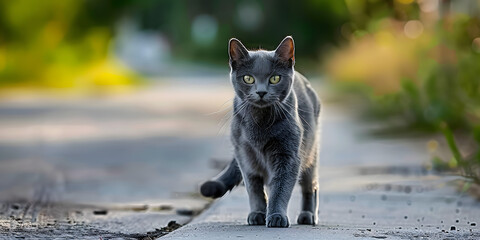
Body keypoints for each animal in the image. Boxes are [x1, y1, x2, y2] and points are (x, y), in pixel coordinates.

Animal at [201, 35, 320, 227]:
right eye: (248, 79)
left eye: (275, 78)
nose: (261, 92)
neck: (259, 124)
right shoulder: (245, 157)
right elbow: (254, 189)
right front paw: (258, 214)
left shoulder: (288, 156)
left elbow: (280, 188)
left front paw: (276, 216)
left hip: (311, 152)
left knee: (310, 186)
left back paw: (308, 215)